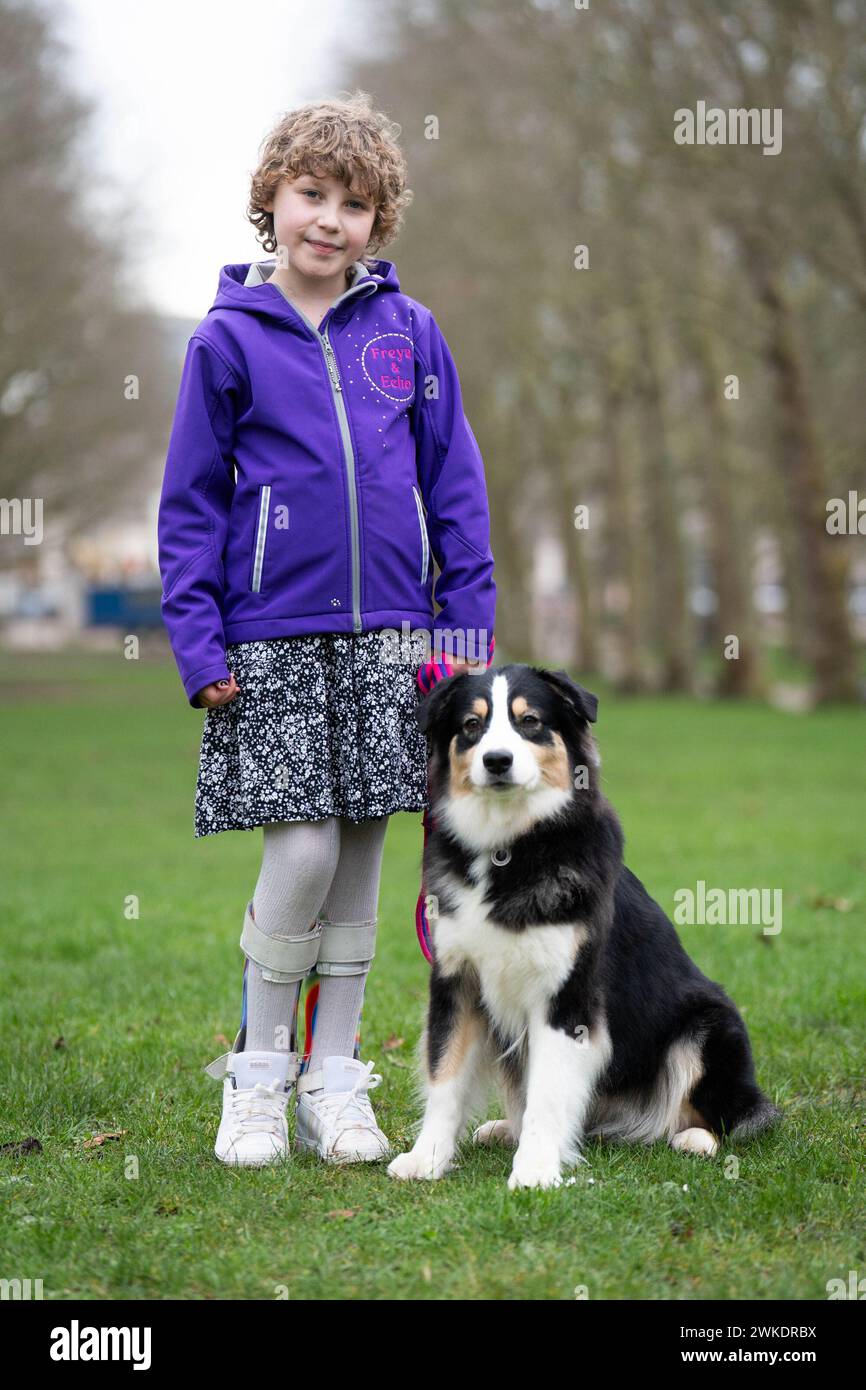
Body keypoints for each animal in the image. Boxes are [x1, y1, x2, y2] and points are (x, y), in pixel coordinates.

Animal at [389, 667, 783, 1189]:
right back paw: (504, 1129)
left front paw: (535, 1171)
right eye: (472, 725)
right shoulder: (456, 980)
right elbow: (445, 1074)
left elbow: (547, 1093)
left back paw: (694, 1138)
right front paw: (426, 1158)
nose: (497, 761)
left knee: (728, 1112)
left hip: (709, 1025)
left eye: (530, 721)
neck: (510, 847)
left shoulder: (567, 994)